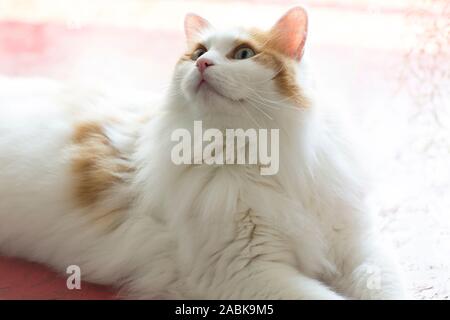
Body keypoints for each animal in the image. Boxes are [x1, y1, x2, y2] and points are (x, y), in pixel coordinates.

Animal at [0, 6, 406, 298]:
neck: (263, 153)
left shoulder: (357, 247)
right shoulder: (246, 271)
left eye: (243, 53)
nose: (201, 63)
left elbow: (387, 289)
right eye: (198, 51)